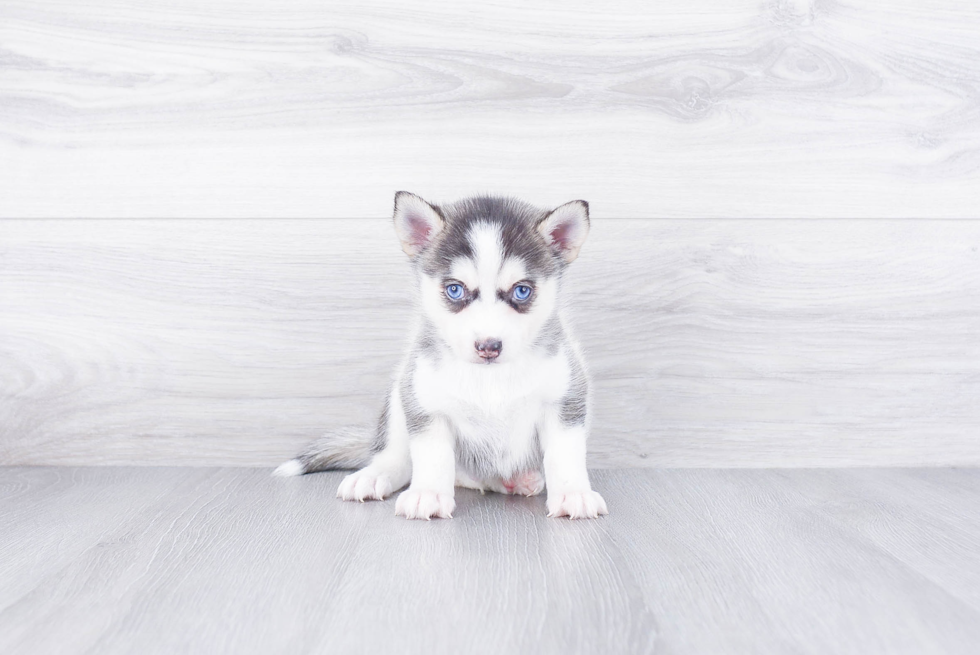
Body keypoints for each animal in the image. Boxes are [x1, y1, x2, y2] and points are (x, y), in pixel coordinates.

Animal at [274, 192, 604, 520]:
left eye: (521, 291)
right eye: (455, 290)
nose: (488, 346)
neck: (490, 378)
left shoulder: (565, 401)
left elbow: (564, 454)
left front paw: (574, 493)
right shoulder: (427, 405)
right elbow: (434, 456)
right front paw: (428, 494)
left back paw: (514, 480)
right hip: (400, 394)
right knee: (399, 458)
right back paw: (374, 475)